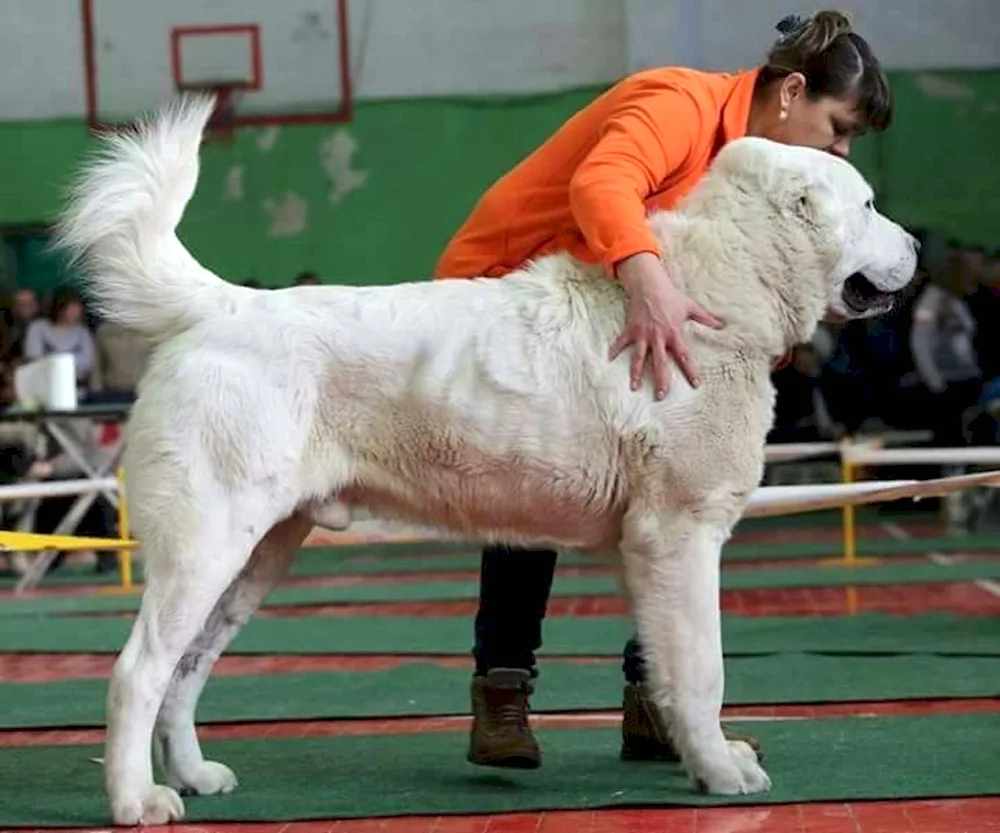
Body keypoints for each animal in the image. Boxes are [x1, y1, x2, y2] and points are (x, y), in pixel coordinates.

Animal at [58, 94, 916, 824]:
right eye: (870, 204)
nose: (913, 245)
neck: (723, 286)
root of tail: (226, 305)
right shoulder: (680, 532)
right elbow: (703, 666)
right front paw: (721, 771)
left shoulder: (650, 548)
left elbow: (664, 663)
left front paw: (690, 753)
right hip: (206, 542)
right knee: (139, 669)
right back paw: (136, 800)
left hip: (260, 551)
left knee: (187, 666)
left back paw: (194, 775)